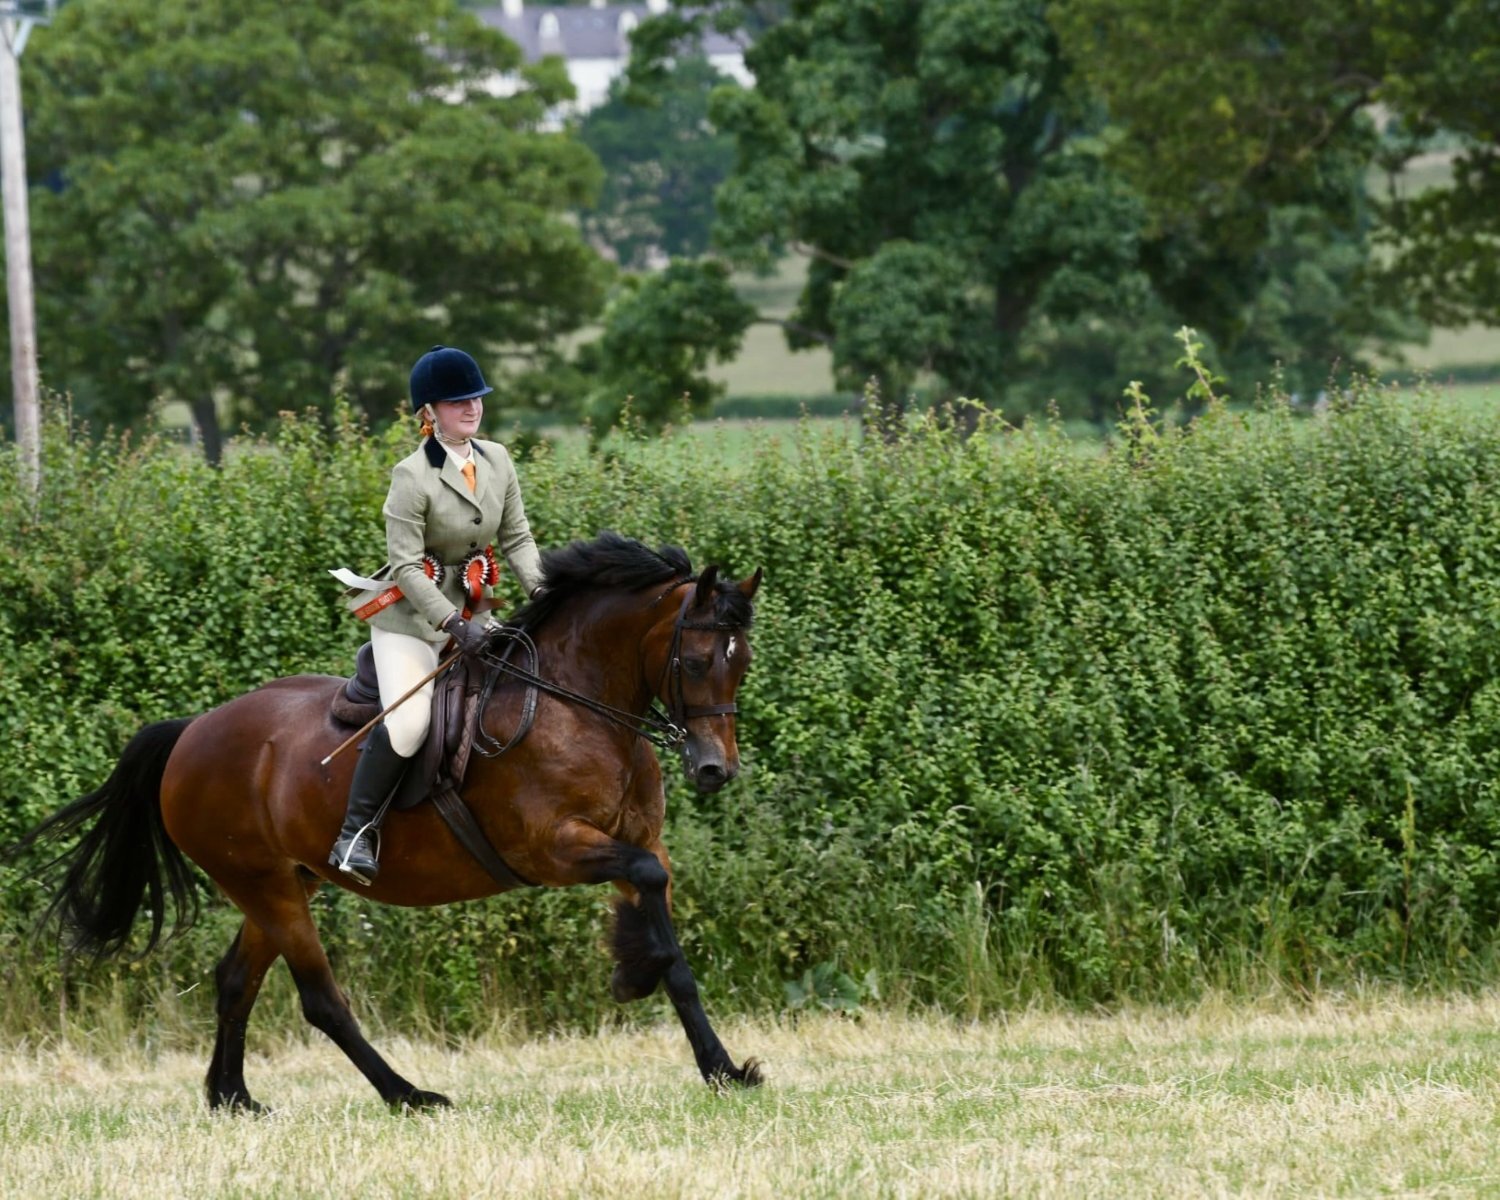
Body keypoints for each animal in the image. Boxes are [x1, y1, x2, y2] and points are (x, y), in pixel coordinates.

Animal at [12, 533, 764, 1110]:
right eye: (696, 660)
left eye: (742, 664)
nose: (714, 770)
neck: (578, 704)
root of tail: (192, 731)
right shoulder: (552, 849)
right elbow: (651, 897)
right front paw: (639, 975)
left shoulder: (636, 839)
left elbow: (667, 928)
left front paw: (716, 1061)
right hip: (266, 885)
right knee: (320, 1000)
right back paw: (409, 1095)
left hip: (282, 882)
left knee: (236, 980)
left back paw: (233, 1098)